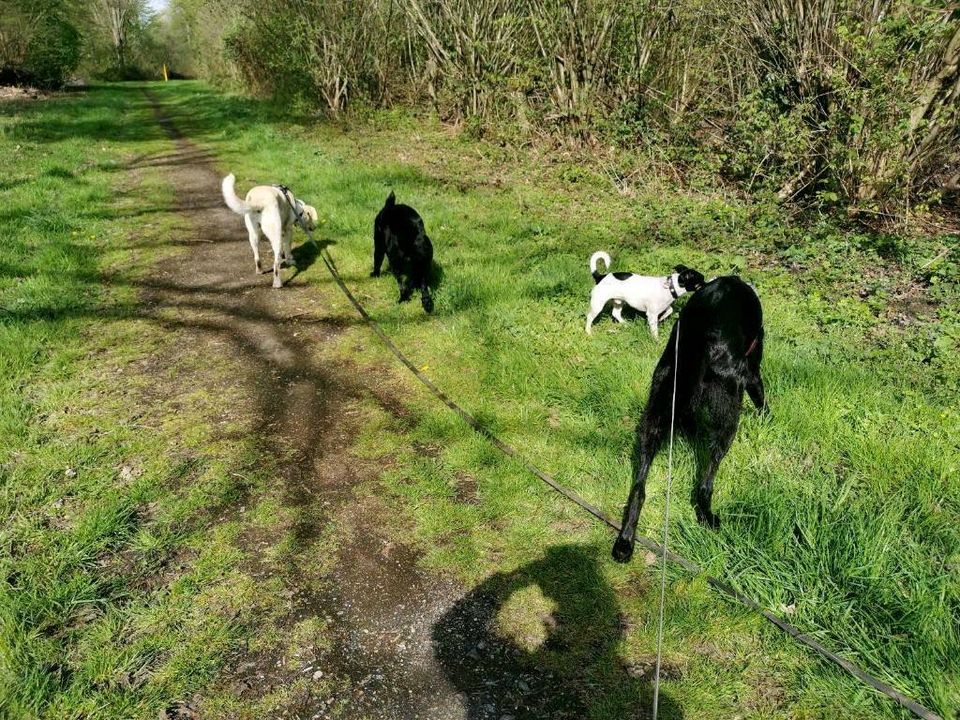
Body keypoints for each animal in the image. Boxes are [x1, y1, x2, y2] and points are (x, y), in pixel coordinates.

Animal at [616, 276, 764, 564]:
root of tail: (700, 340)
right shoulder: (752, 372)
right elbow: (763, 400)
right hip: (728, 415)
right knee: (705, 481)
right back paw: (707, 516)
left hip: (656, 411)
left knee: (639, 487)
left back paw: (624, 541)